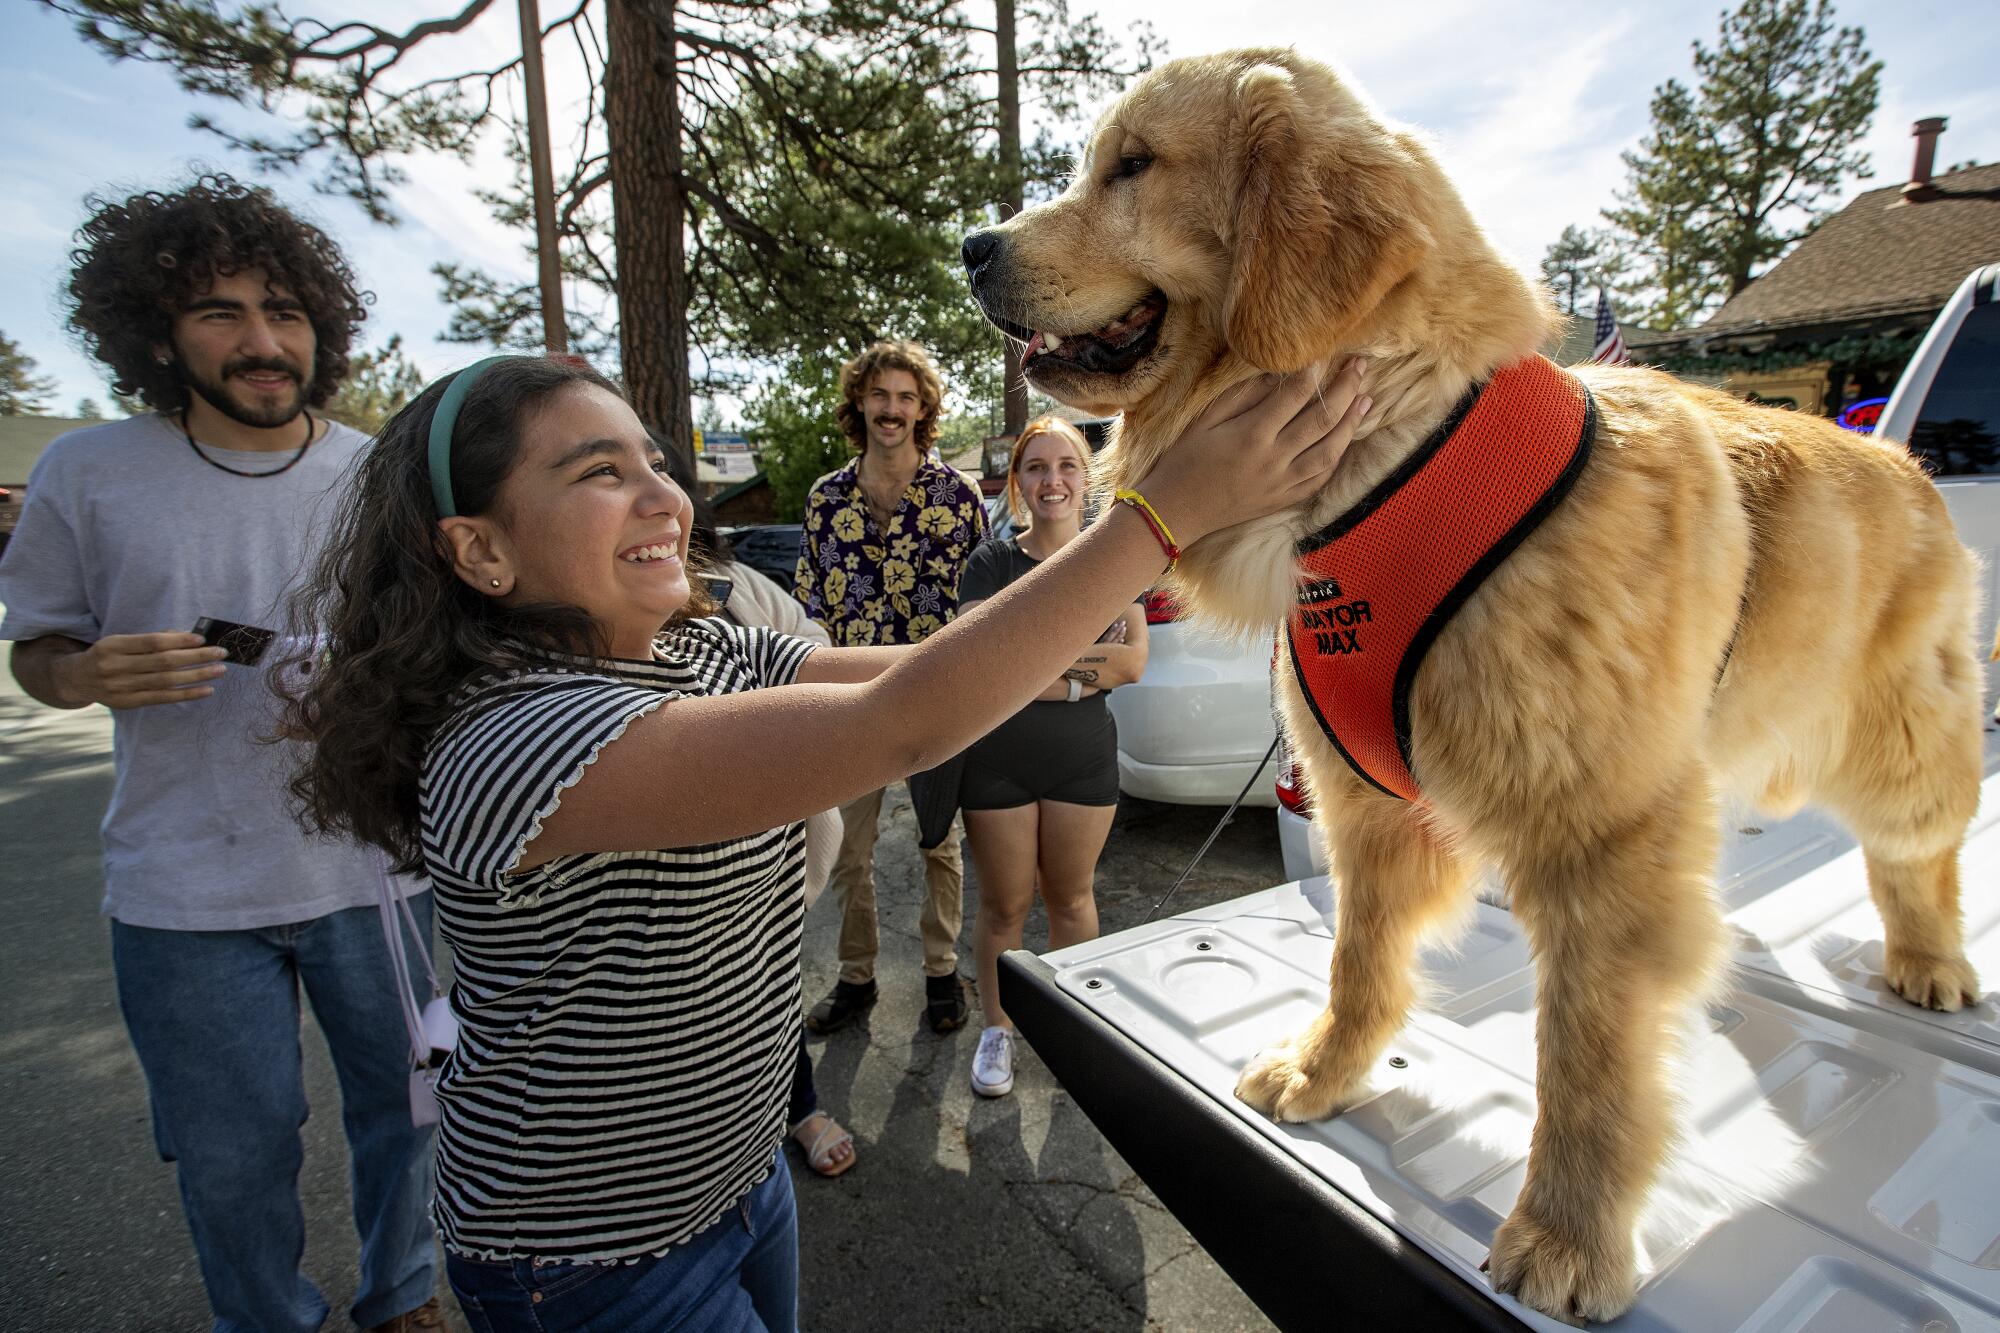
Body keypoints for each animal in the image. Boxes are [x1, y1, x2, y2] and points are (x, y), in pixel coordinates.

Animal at [964, 49, 1984, 1320]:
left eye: (1133, 165)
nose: (971, 244)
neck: (1388, 461)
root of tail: (1901, 454)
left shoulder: (1598, 842)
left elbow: (1586, 1064)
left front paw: (1567, 1229)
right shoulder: (1363, 806)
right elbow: (1358, 964)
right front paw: (1327, 1072)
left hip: (1896, 743)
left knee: (1918, 852)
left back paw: (1928, 958)